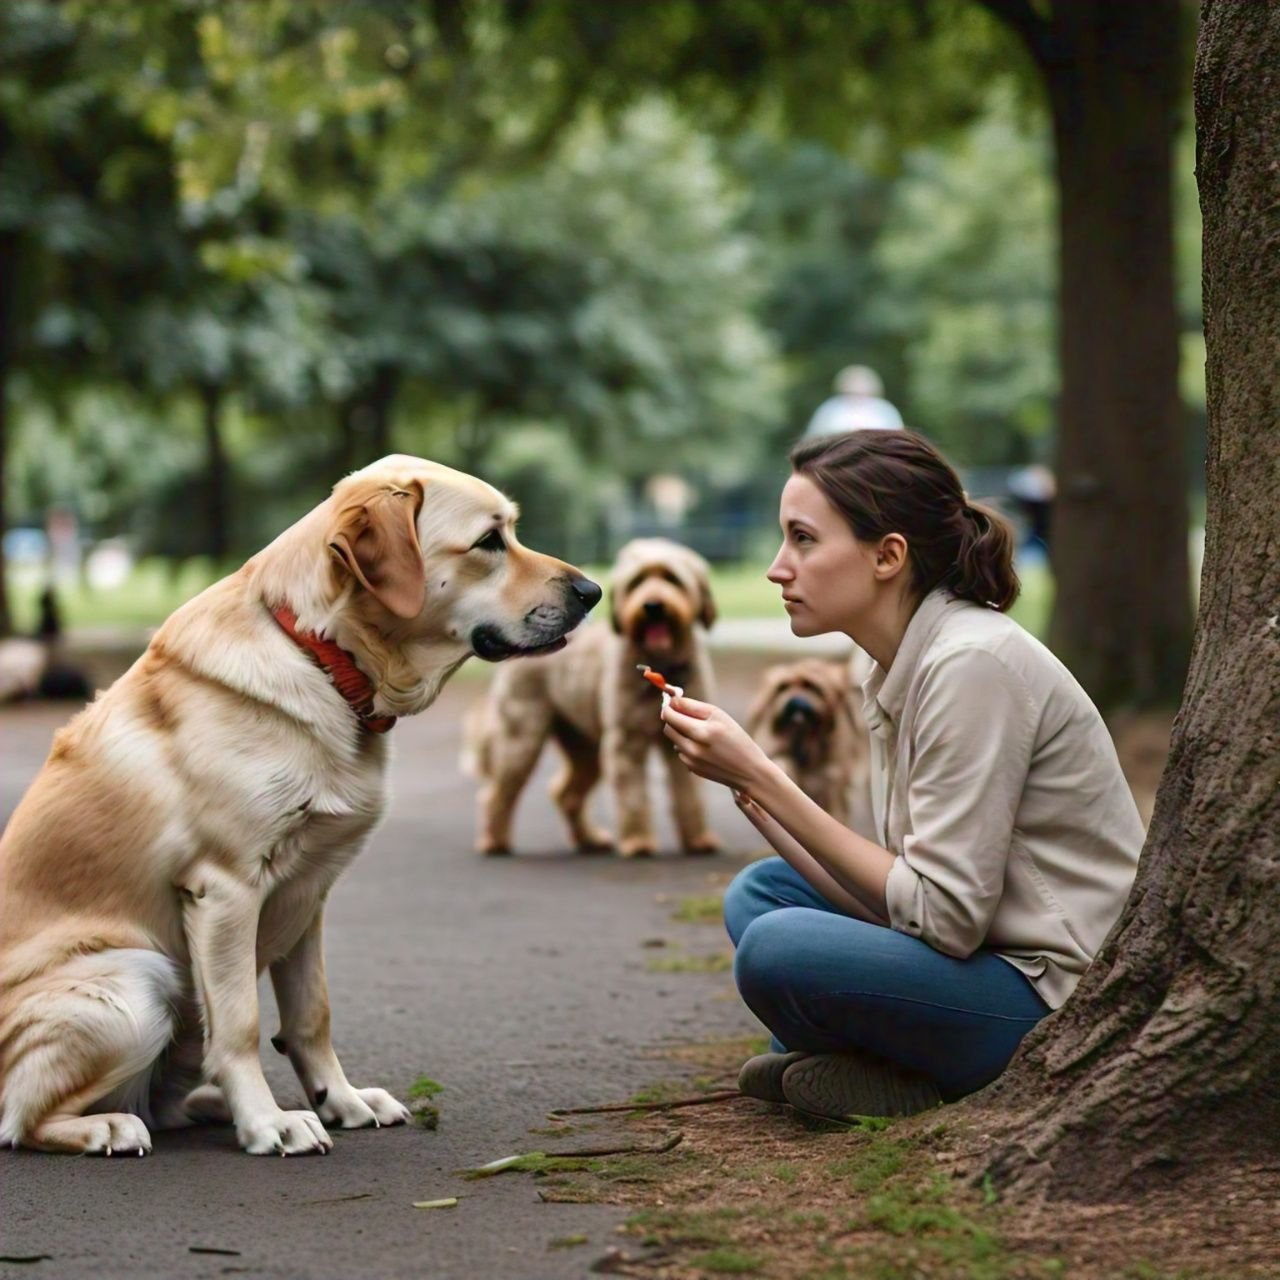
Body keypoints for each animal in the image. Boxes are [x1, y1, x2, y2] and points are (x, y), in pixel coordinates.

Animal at [0, 455, 599, 1157]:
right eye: (489, 541)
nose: (593, 592)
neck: (319, 656)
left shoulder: (309, 891)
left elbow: (312, 1015)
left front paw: (339, 1100)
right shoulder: (226, 890)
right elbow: (240, 1024)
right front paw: (269, 1123)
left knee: (163, 1099)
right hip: (138, 982)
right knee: (22, 1119)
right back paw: (110, 1126)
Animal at [471, 535, 727, 855]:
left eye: (672, 579)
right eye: (637, 581)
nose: (653, 605)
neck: (660, 660)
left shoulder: (678, 742)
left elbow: (689, 794)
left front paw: (697, 839)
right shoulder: (626, 742)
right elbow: (633, 796)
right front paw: (638, 842)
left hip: (584, 746)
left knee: (566, 793)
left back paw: (588, 839)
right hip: (522, 738)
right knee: (498, 792)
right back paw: (494, 840)